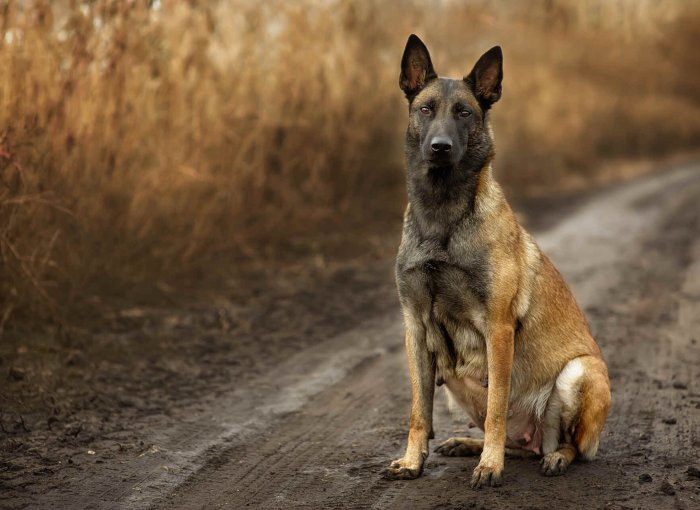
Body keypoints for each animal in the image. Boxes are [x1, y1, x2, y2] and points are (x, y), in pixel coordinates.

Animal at [382, 33, 612, 488]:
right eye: (425, 109)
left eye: (465, 112)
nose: (440, 148)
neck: (442, 215)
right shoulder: (415, 327)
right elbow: (418, 413)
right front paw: (413, 461)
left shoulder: (498, 328)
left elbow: (495, 412)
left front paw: (489, 467)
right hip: (454, 386)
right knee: (517, 443)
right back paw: (465, 444)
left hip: (579, 372)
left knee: (567, 446)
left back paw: (552, 458)